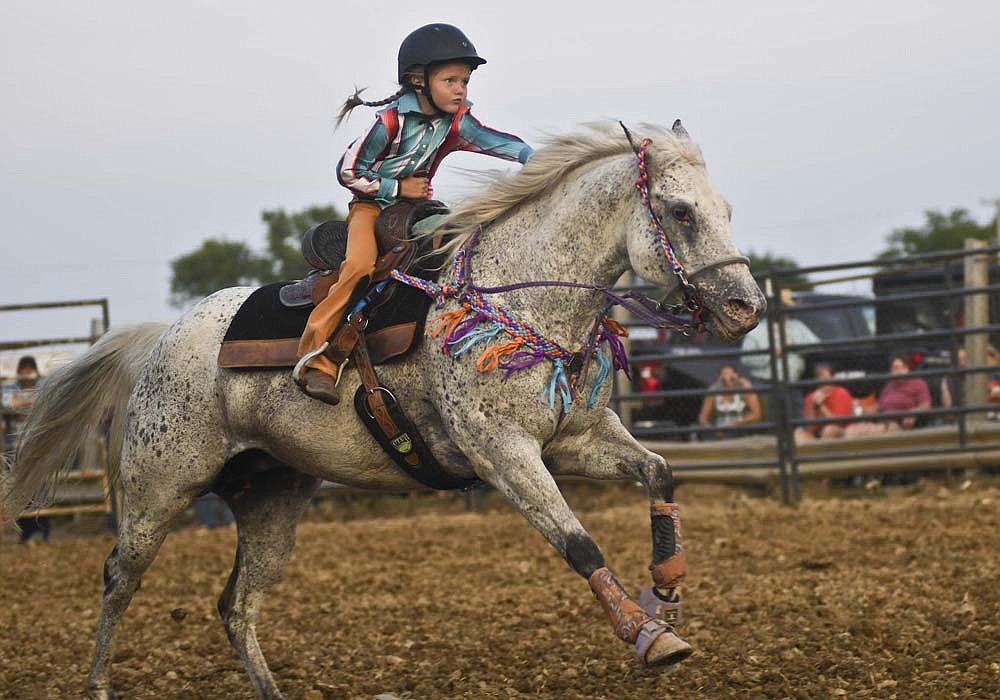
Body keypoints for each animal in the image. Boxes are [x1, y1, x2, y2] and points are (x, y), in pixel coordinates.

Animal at [1, 121, 764, 700]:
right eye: (682, 211)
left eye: (727, 208)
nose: (745, 307)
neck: (513, 301)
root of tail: (162, 337)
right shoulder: (502, 451)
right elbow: (579, 544)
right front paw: (650, 635)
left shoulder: (575, 438)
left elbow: (660, 471)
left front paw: (667, 590)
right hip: (159, 489)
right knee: (119, 577)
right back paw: (100, 684)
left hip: (274, 494)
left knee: (237, 605)